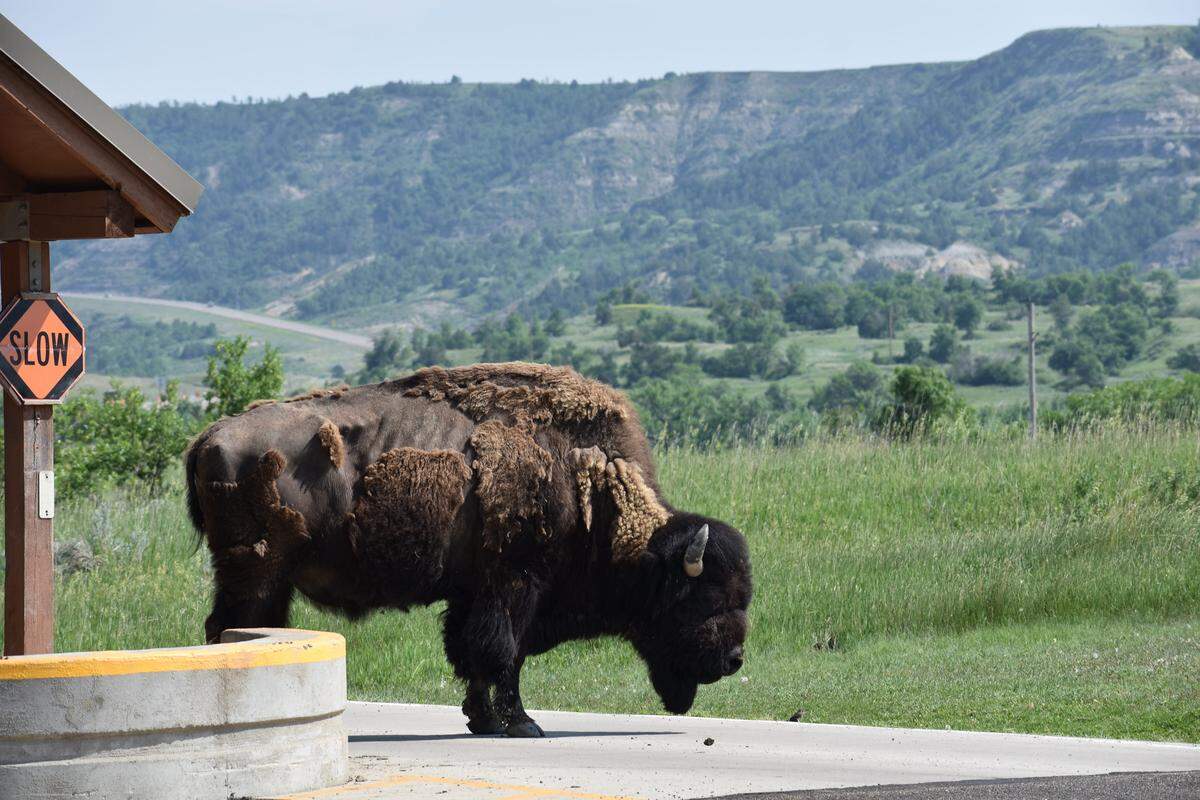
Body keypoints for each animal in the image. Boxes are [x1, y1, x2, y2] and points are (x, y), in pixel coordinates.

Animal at [186, 362, 752, 737]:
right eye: (704, 599)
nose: (733, 660)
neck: (588, 485)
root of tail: (208, 436)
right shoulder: (516, 585)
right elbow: (503, 653)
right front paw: (522, 724)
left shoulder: (474, 594)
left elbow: (469, 652)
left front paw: (481, 720)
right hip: (255, 572)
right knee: (231, 627)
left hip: (266, 579)